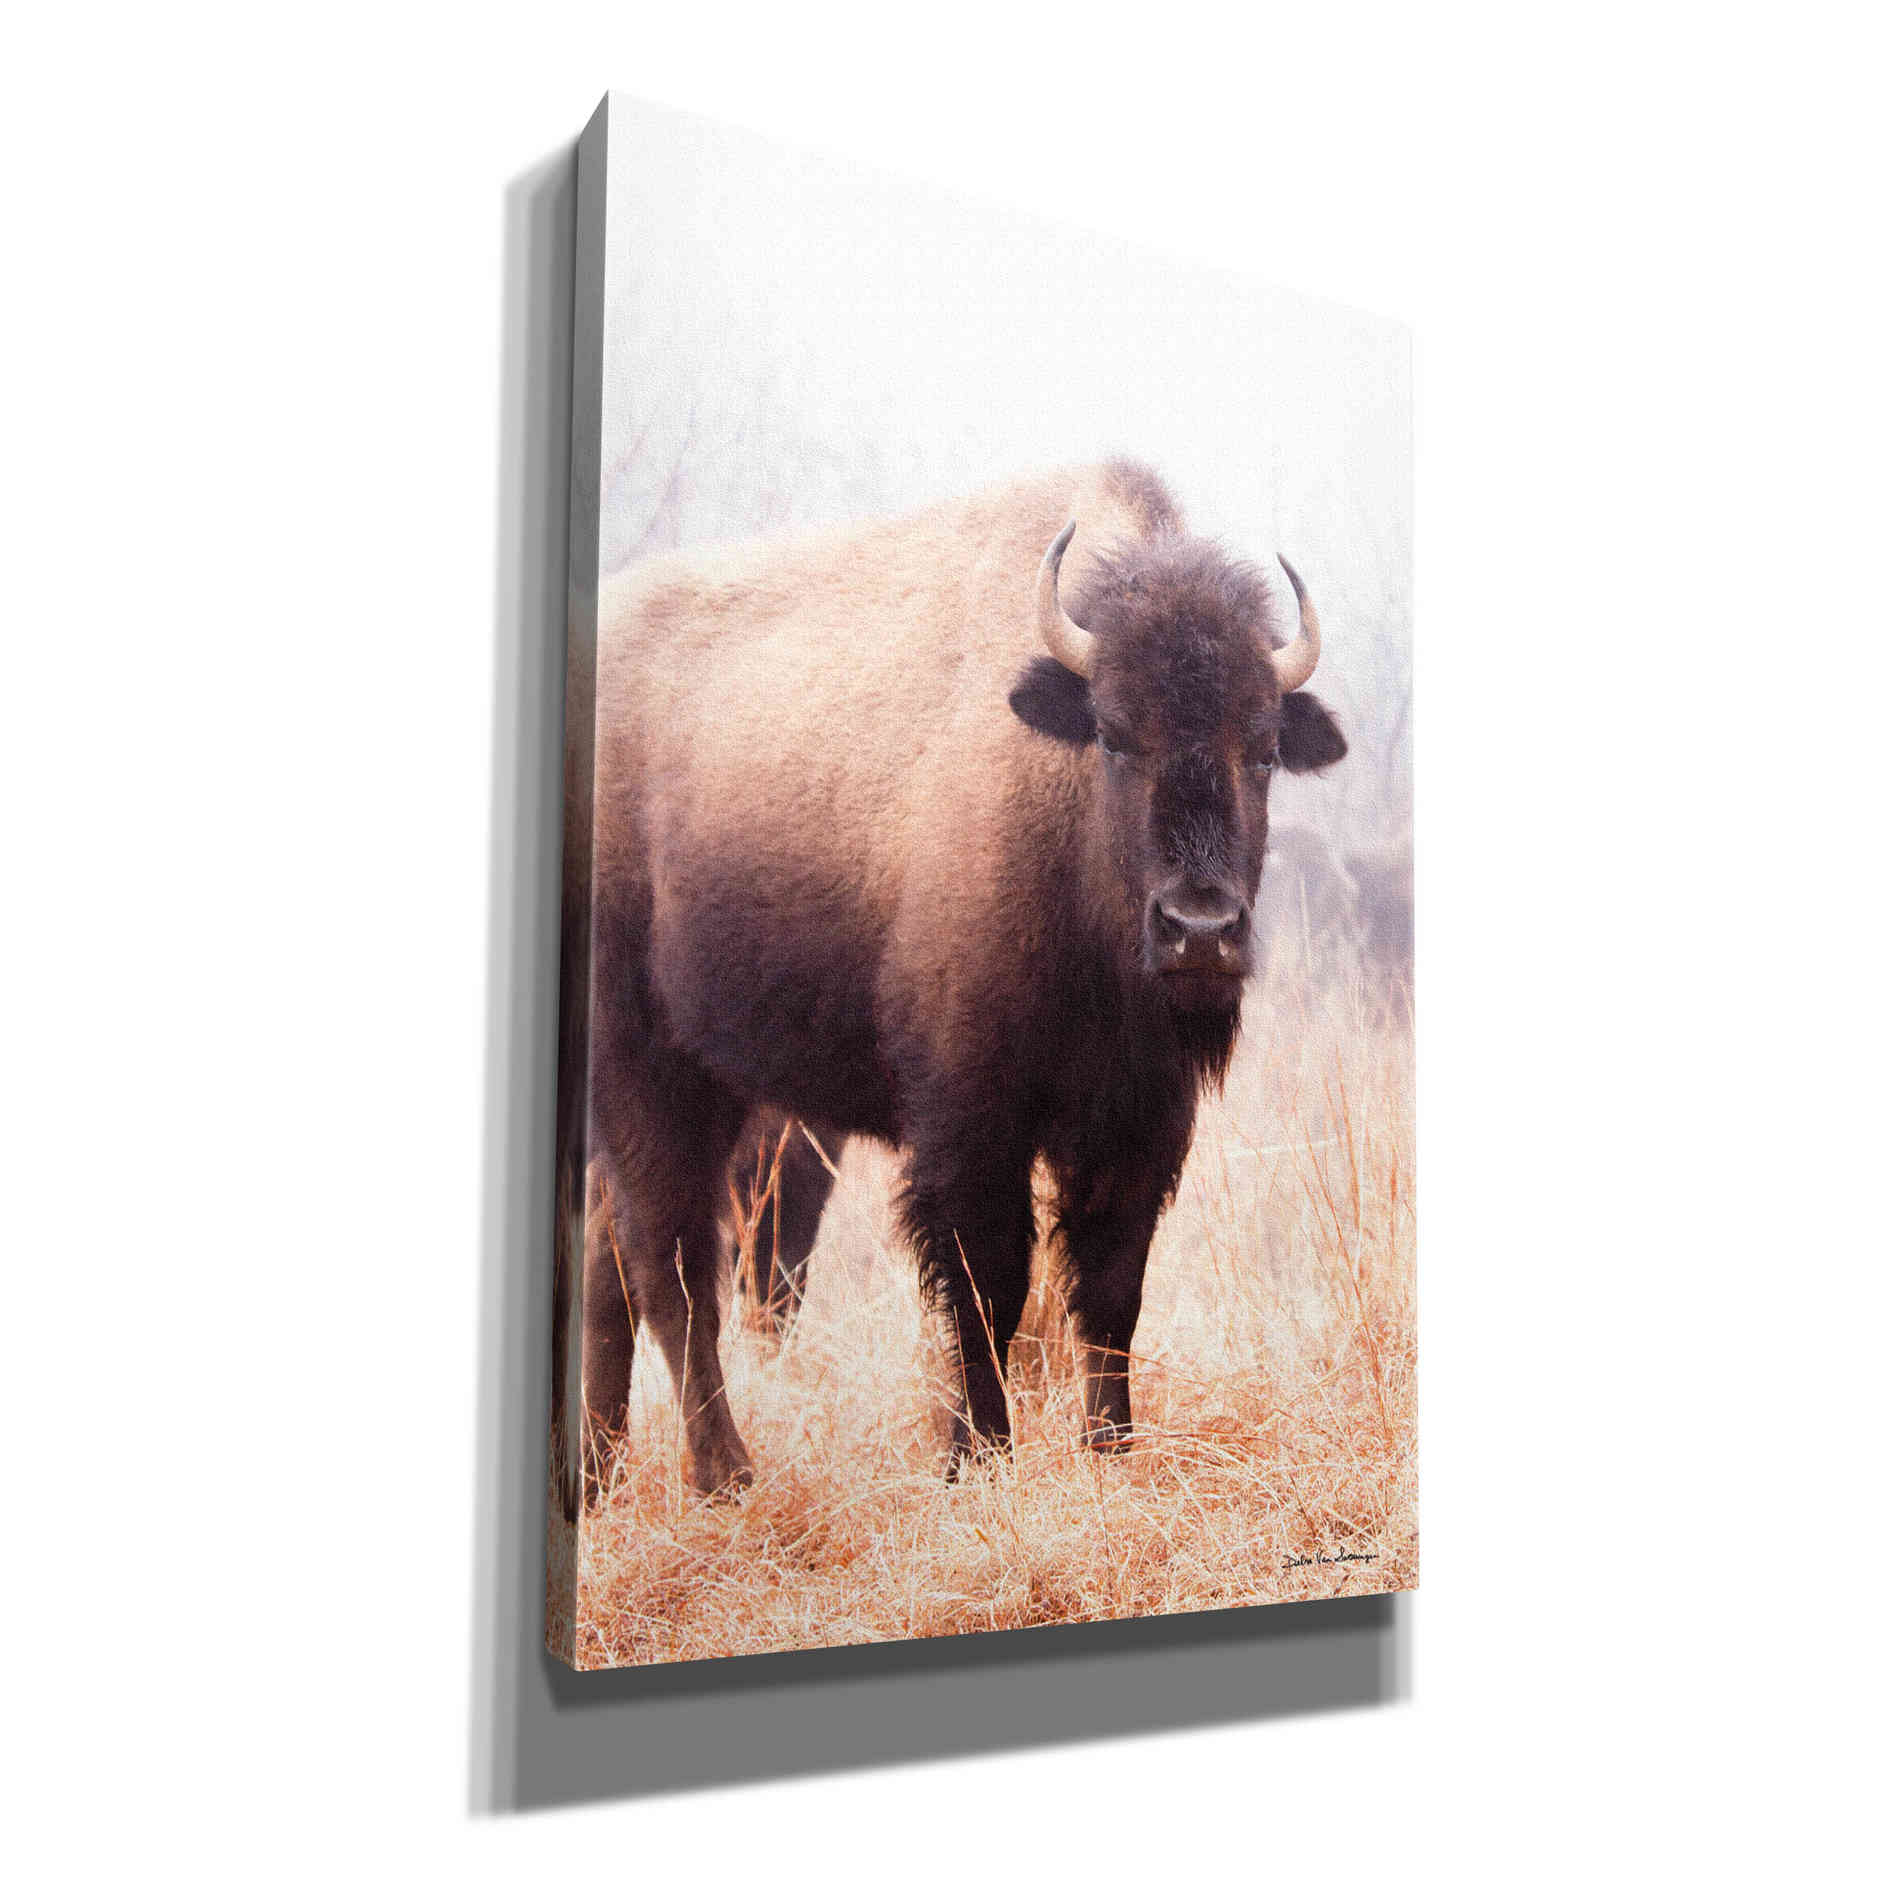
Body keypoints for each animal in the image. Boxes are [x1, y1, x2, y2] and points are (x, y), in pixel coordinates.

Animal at [556, 459, 1347, 1508]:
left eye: (1262, 749)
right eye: (1114, 735)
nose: (1201, 930)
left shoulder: (1140, 1122)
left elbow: (1112, 1287)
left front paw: (1112, 1451)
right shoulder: (971, 1121)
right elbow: (988, 1284)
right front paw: (978, 1456)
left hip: (706, 1084)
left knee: (617, 1255)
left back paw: (600, 1475)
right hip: (648, 1068)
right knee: (672, 1264)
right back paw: (726, 1474)